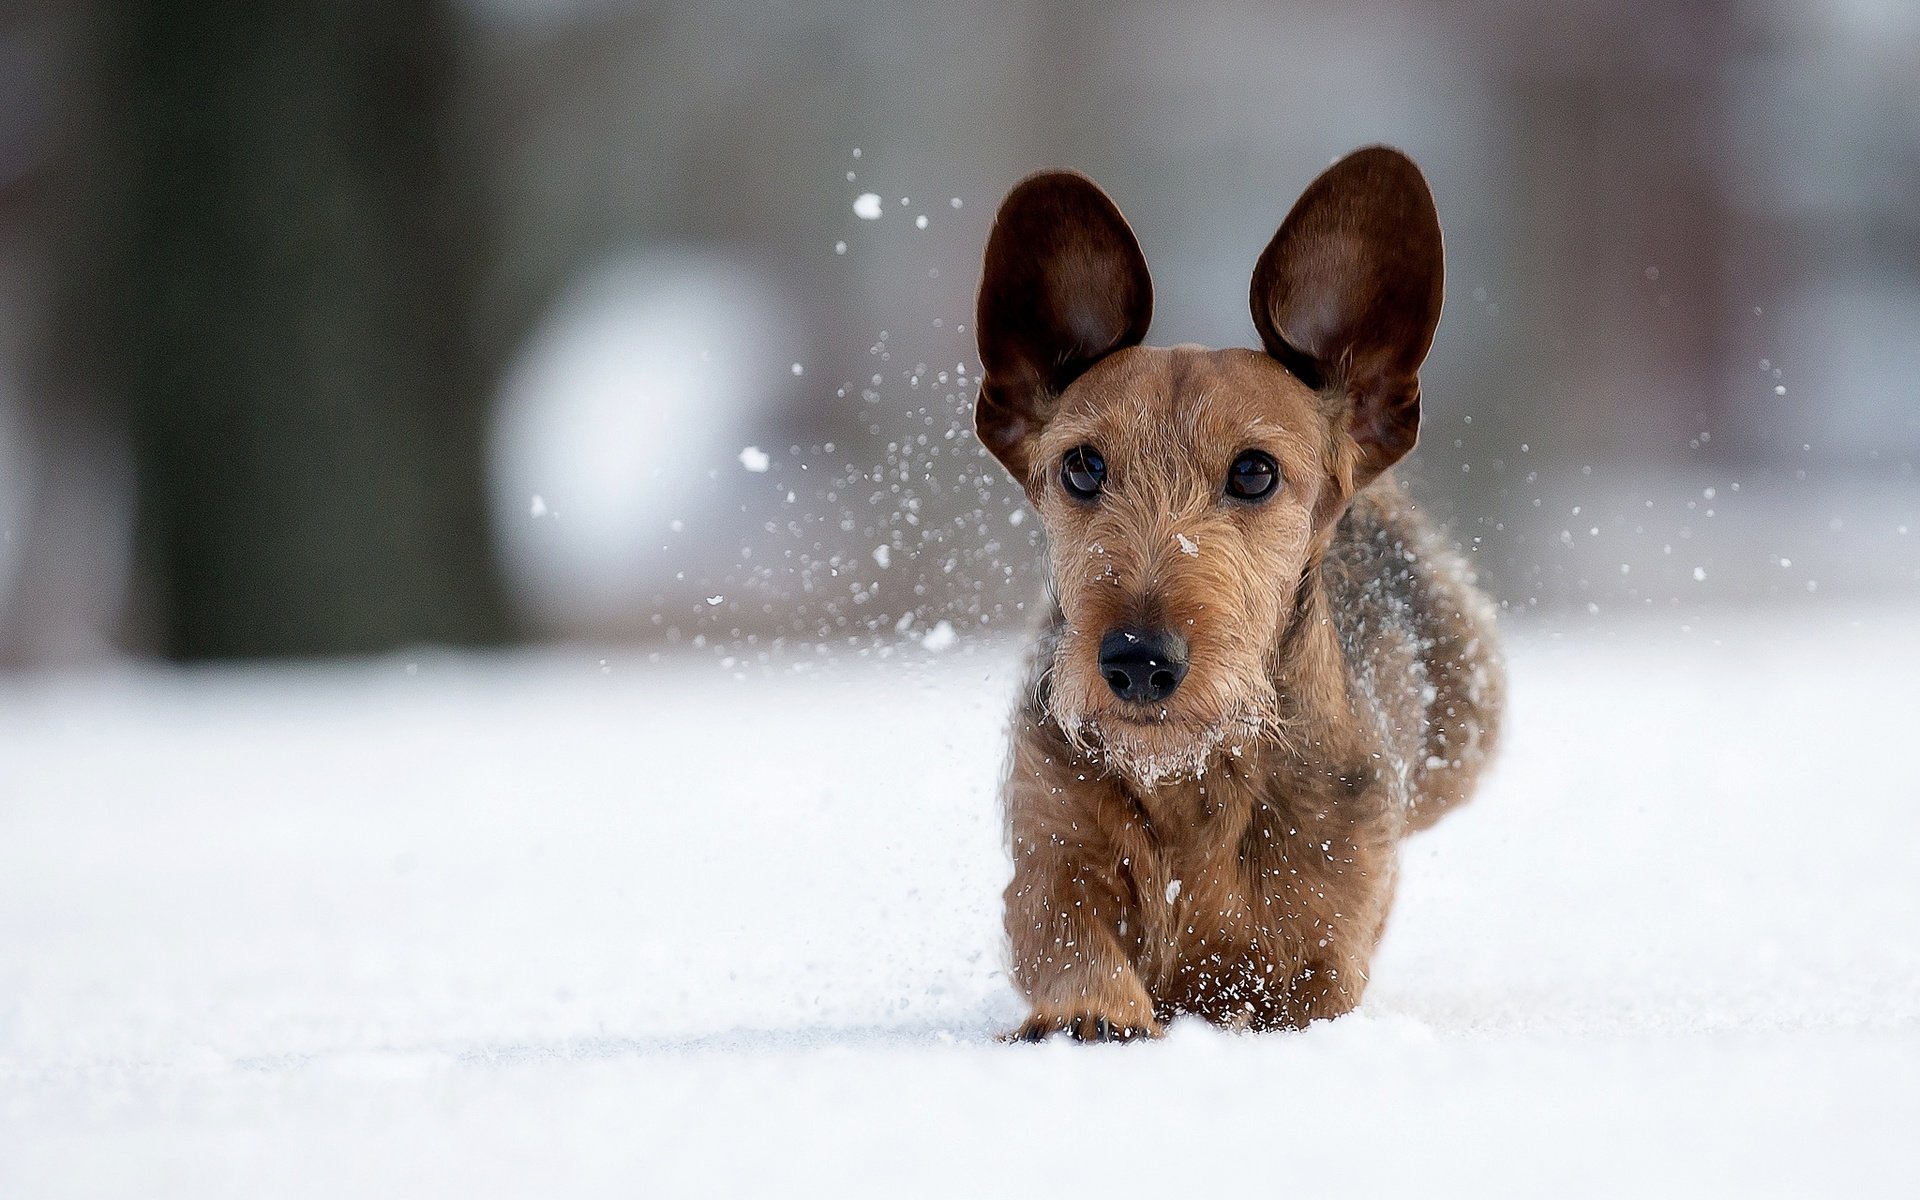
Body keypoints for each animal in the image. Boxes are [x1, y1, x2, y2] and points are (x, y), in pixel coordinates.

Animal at [975, 144, 1497, 1036]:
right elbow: (1064, 928)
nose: (1138, 661)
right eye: (1082, 466)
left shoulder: (1331, 942)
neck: (1196, 782)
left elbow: (1306, 982)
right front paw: (1095, 1012)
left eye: (1254, 471)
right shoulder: (1050, 843)